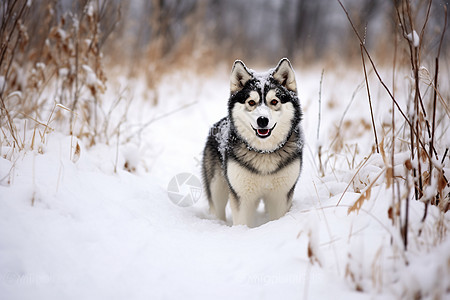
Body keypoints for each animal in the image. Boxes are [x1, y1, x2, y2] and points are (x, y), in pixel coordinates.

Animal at [202, 58, 304, 227]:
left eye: (274, 101)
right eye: (251, 102)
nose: (262, 120)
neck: (264, 152)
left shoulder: (280, 196)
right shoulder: (242, 196)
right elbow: (242, 221)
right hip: (217, 187)